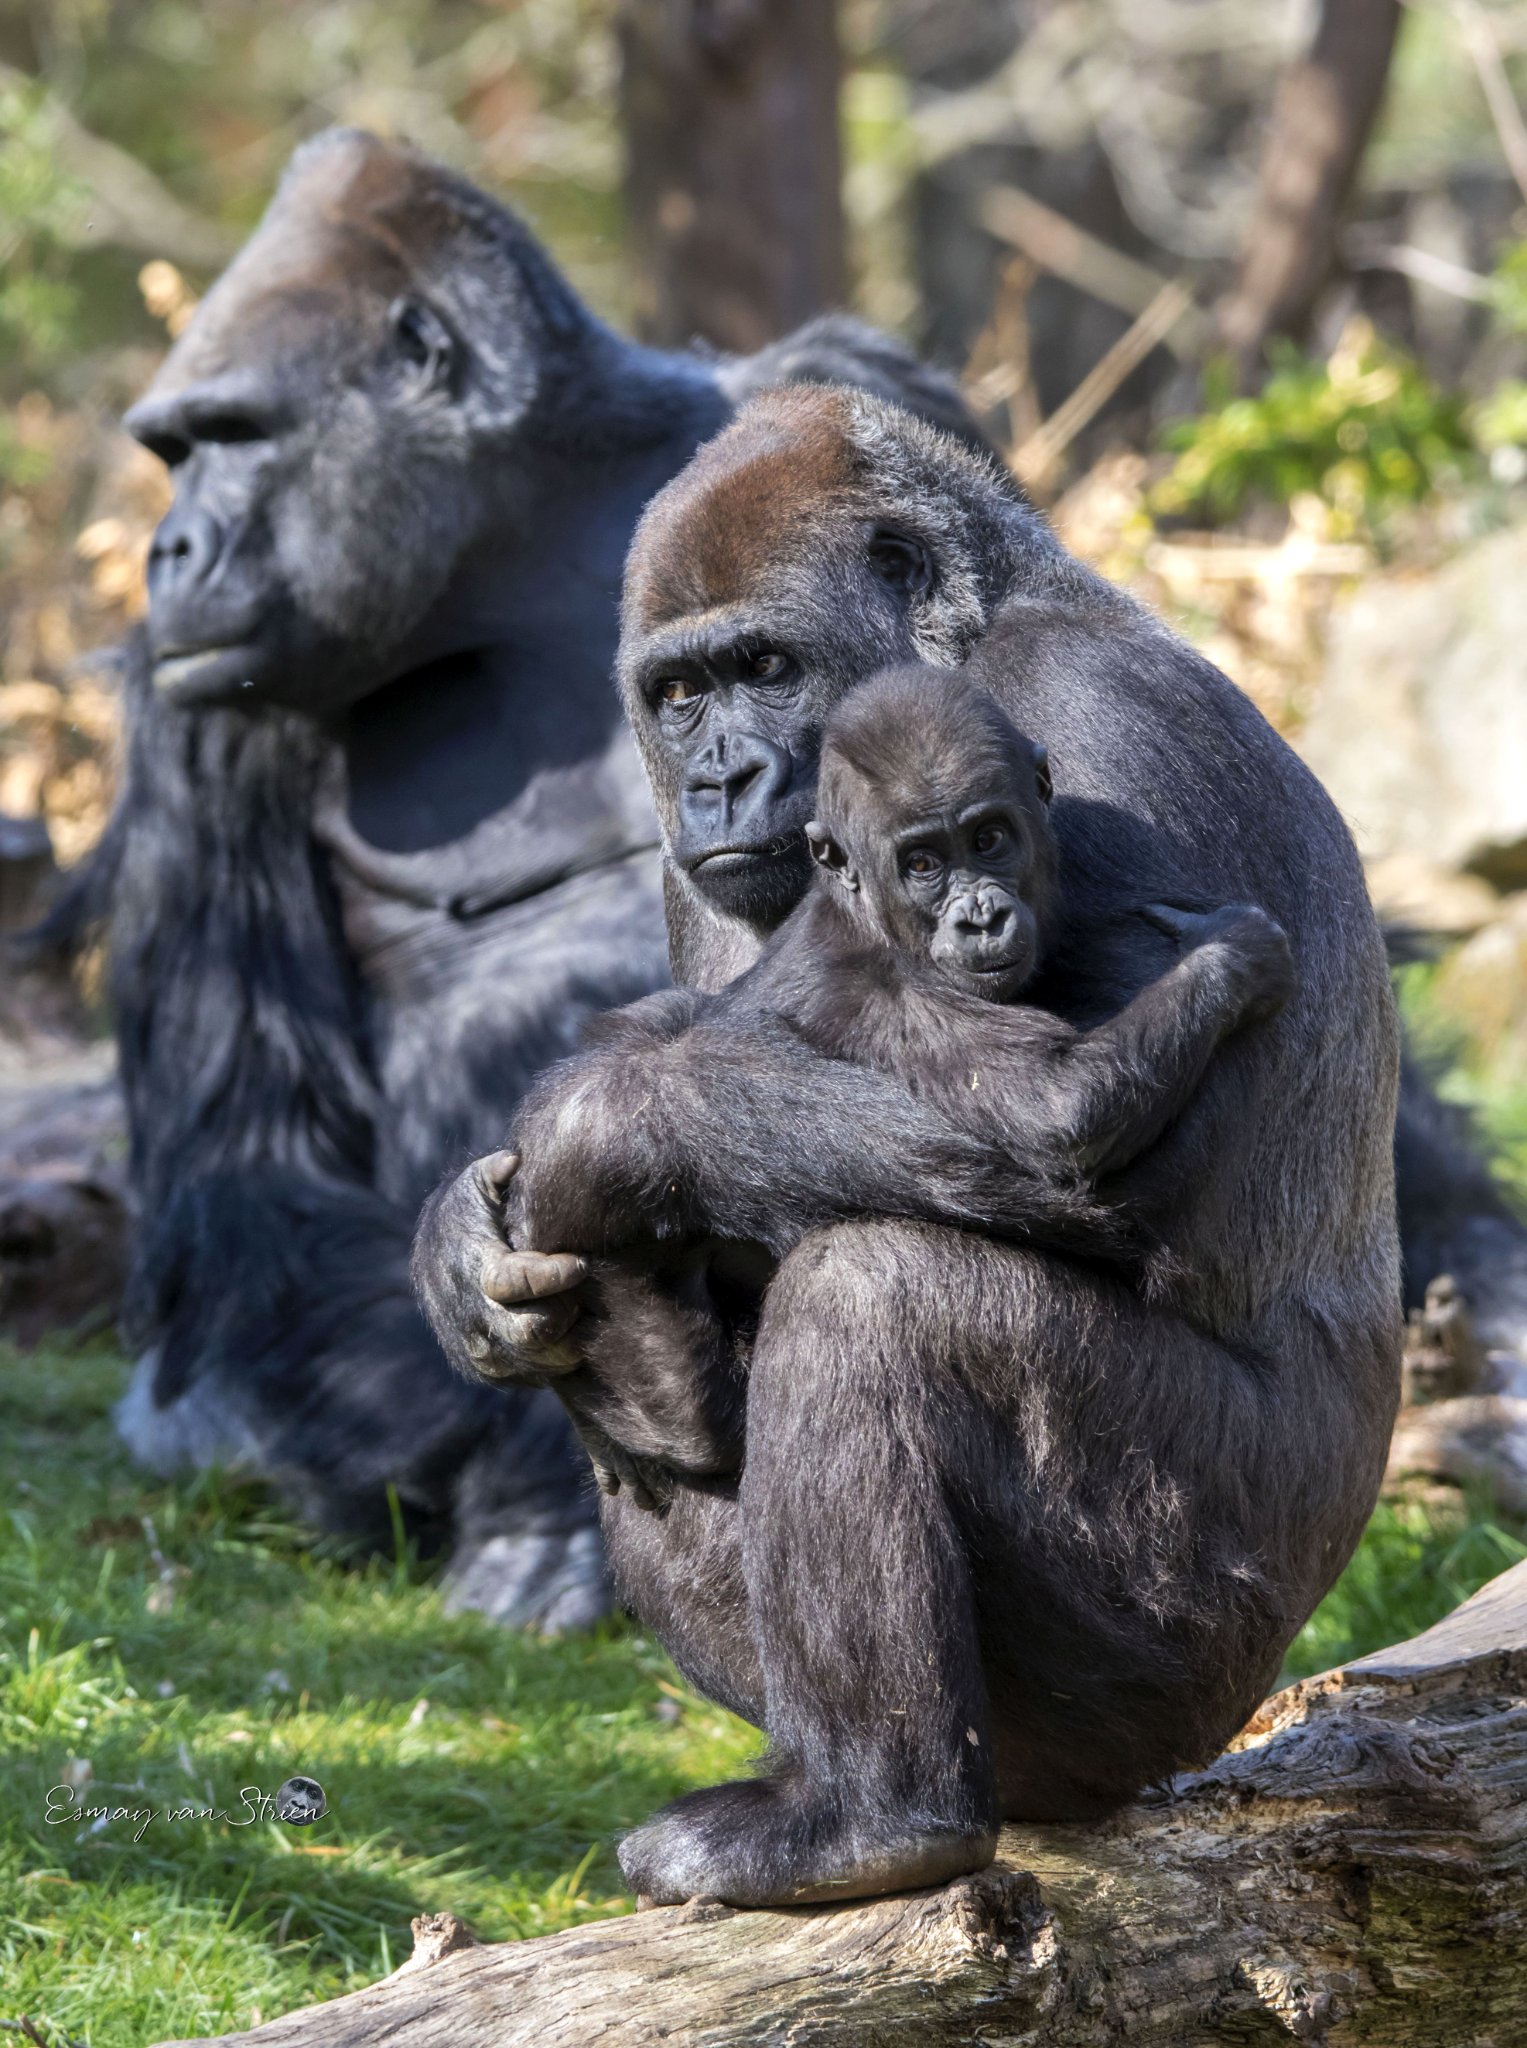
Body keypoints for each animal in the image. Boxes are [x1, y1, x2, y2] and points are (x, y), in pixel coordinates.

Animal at [413, 383, 1401, 1909]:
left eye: (765, 665)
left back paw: (876, 1817)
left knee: (878, 1293)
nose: (715, 781)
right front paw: (458, 1241)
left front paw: (591, 1127)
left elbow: (1095, 1163)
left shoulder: (1089, 747)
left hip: (1201, 1641)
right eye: (678, 695)